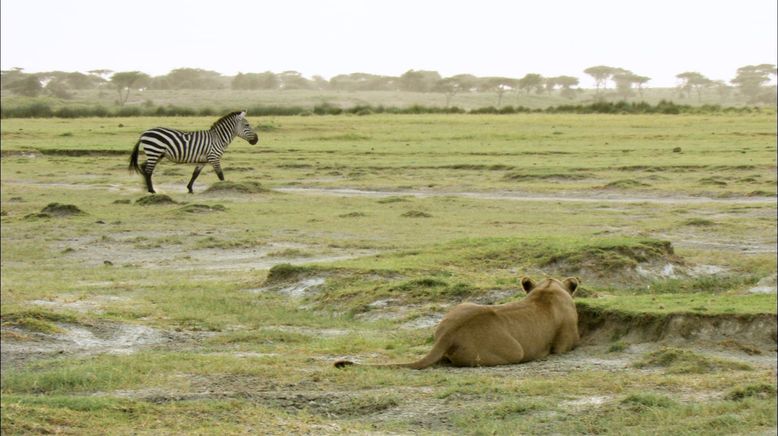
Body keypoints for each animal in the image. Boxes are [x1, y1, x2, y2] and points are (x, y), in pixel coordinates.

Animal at [129, 110, 260, 194]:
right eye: (247, 125)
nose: (256, 140)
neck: (218, 138)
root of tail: (144, 133)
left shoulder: (203, 161)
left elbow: (195, 174)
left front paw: (190, 189)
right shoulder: (214, 158)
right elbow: (220, 175)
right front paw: (225, 186)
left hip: (157, 154)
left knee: (144, 167)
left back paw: (146, 187)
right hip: (154, 151)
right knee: (148, 170)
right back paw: (151, 190)